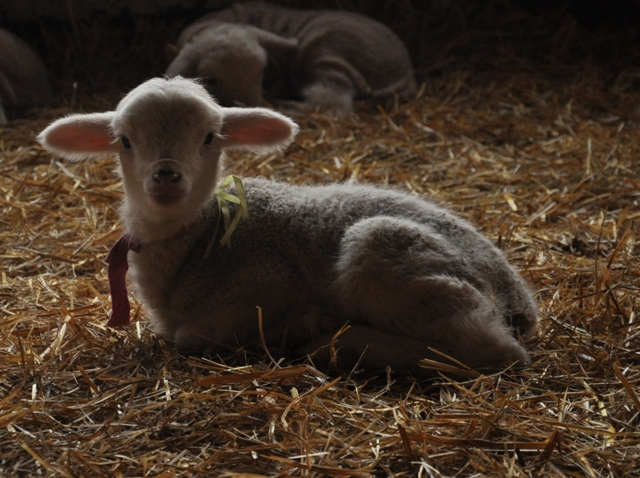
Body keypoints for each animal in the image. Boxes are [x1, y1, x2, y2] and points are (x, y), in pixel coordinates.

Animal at [38, 76, 540, 376]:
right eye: (124, 141)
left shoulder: (263, 287)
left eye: (209, 138)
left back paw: (338, 343)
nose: (165, 176)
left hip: (387, 248)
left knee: (494, 352)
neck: (203, 236)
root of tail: (518, 296)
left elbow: (188, 336)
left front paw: (298, 325)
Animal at [165, 1, 418, 115]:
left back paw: (285, 106)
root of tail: (405, 71)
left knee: (330, 105)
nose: (253, 106)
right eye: (212, 80)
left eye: (261, 69)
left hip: (324, 55)